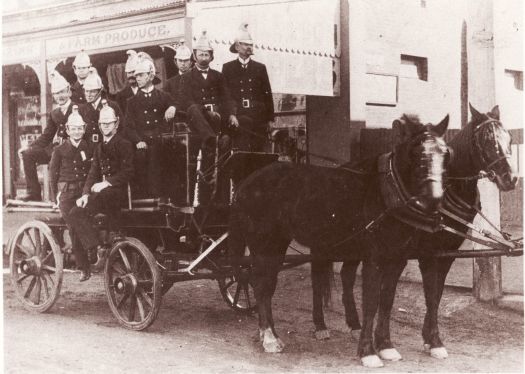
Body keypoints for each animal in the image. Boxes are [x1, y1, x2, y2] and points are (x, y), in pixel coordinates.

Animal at [227, 114, 448, 366]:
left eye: (445, 153)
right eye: (417, 153)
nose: (433, 200)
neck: (388, 194)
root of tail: (246, 183)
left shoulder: (396, 259)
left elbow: (387, 300)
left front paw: (386, 346)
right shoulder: (374, 258)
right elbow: (371, 302)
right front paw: (368, 352)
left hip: (278, 244)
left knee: (266, 285)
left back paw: (269, 334)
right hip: (263, 244)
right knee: (261, 284)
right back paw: (270, 338)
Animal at [312, 103, 516, 366]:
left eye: (509, 138)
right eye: (487, 140)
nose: (511, 178)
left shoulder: (444, 254)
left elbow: (435, 295)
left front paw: (430, 339)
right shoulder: (423, 253)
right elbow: (421, 294)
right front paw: (427, 340)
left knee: (347, 275)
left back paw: (354, 324)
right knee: (317, 277)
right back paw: (320, 326)